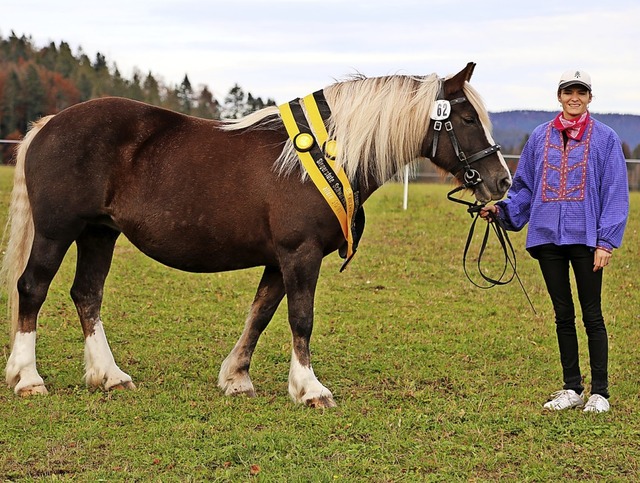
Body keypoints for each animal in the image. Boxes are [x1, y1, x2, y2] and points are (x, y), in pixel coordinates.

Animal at [0, 61, 510, 408]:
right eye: (467, 119)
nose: (501, 181)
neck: (326, 155)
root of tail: (48, 124)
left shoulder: (278, 259)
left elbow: (261, 314)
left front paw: (236, 377)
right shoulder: (300, 253)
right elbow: (300, 318)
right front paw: (309, 388)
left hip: (98, 234)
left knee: (87, 294)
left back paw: (109, 375)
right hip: (57, 232)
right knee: (33, 288)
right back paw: (28, 378)